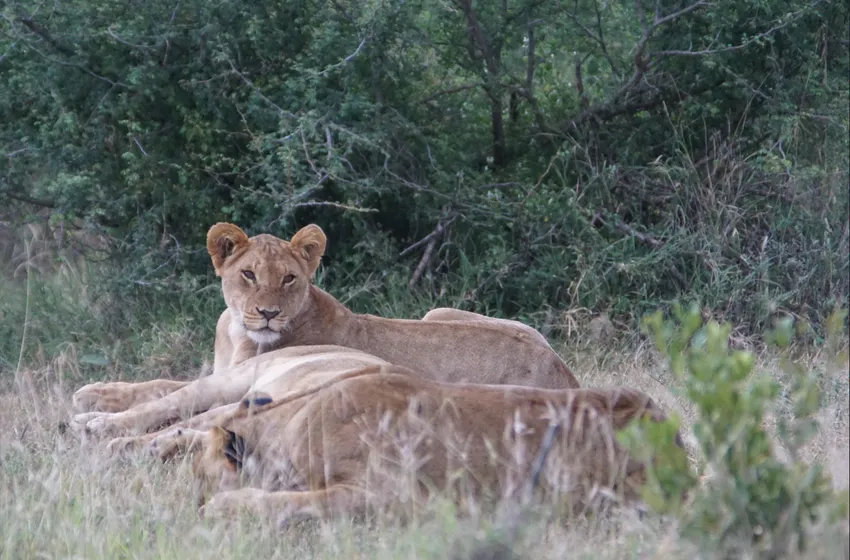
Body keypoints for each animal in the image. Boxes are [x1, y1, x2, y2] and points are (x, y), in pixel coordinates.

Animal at [72, 223, 579, 437]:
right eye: (249, 275)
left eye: (289, 278)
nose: (268, 313)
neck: (237, 330)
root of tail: (565, 374)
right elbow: (161, 381)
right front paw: (95, 391)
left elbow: (170, 386)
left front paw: (94, 404)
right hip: (439, 311)